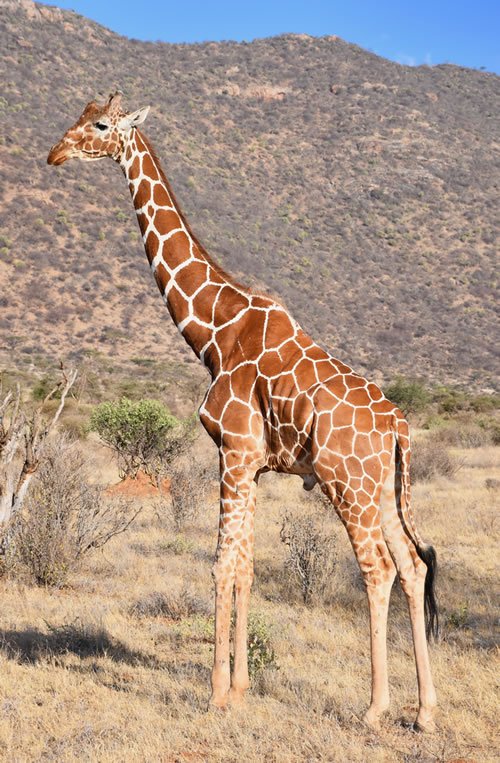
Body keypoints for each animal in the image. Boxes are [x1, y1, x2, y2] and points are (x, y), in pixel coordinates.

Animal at [47, 94, 438, 736]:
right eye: (79, 116)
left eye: (100, 125)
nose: (56, 153)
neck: (213, 330)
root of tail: (399, 427)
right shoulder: (253, 465)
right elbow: (248, 566)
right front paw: (242, 688)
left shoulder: (231, 452)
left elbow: (220, 565)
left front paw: (215, 694)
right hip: (384, 488)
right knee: (411, 567)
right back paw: (425, 710)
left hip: (348, 486)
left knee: (378, 569)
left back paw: (375, 707)